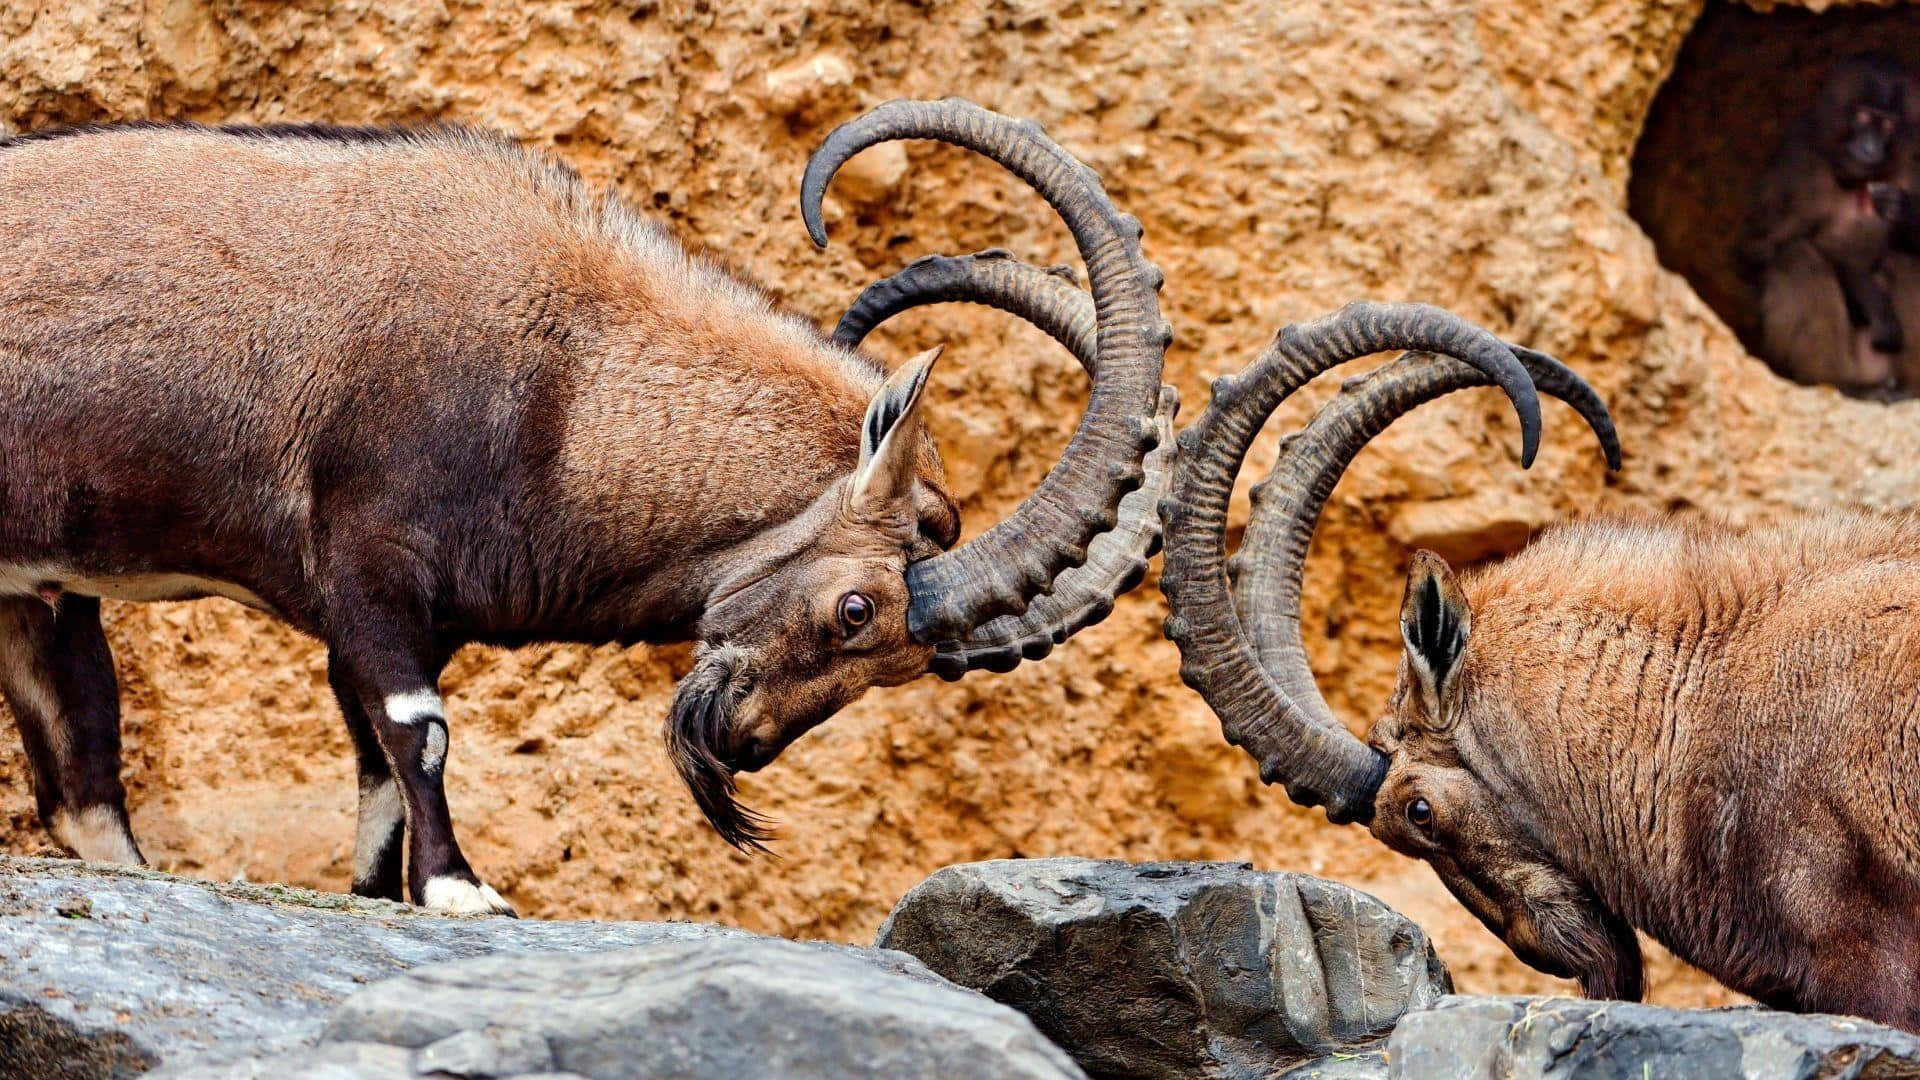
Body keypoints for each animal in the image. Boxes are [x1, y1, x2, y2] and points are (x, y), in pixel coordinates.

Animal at [0, 100, 1170, 914]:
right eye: (856, 611)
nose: (742, 743)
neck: (570, 379)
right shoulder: (371, 560)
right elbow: (417, 731)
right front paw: (463, 889)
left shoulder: (394, 615)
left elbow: (373, 757)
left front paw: (381, 893)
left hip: (33, 595)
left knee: (81, 787)